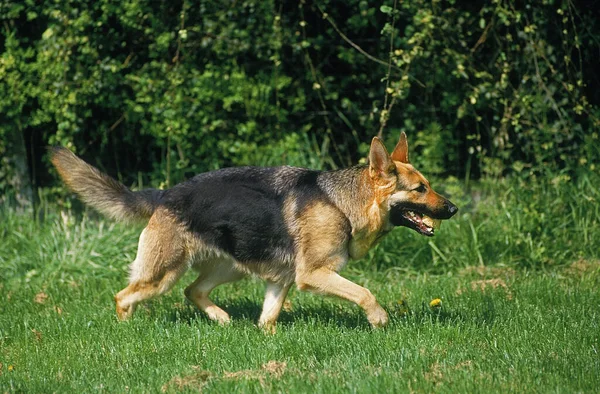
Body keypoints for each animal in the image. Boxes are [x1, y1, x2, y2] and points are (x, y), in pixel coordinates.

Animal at [51, 134, 458, 330]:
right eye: (420, 189)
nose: (453, 209)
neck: (343, 203)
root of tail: (164, 194)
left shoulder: (281, 281)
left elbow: (269, 318)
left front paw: (268, 338)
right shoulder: (314, 275)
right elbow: (365, 293)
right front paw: (379, 321)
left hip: (230, 267)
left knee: (192, 291)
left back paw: (221, 319)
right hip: (163, 274)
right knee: (124, 296)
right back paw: (128, 329)